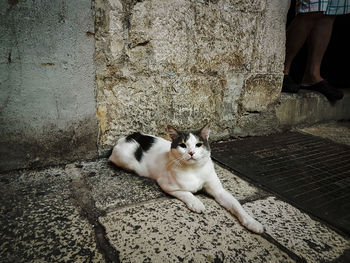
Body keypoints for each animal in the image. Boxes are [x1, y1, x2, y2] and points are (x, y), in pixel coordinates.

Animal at [108, 125, 264, 234]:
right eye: (183, 145)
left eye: (198, 145)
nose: (191, 153)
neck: (195, 170)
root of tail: (126, 137)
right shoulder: (166, 185)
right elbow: (186, 193)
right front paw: (197, 203)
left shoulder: (219, 191)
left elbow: (237, 206)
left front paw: (252, 222)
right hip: (125, 159)